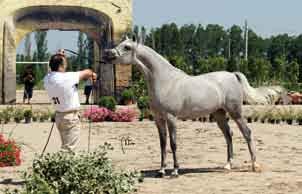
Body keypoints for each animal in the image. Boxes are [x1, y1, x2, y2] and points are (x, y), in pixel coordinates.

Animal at [103, 38, 260, 177]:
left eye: (127, 47)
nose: (107, 54)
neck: (165, 81)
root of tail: (233, 75)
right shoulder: (158, 119)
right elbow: (163, 144)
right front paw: (161, 171)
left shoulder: (171, 118)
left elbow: (173, 144)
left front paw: (175, 171)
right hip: (219, 114)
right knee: (228, 135)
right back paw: (228, 165)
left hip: (235, 112)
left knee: (247, 133)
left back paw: (254, 165)